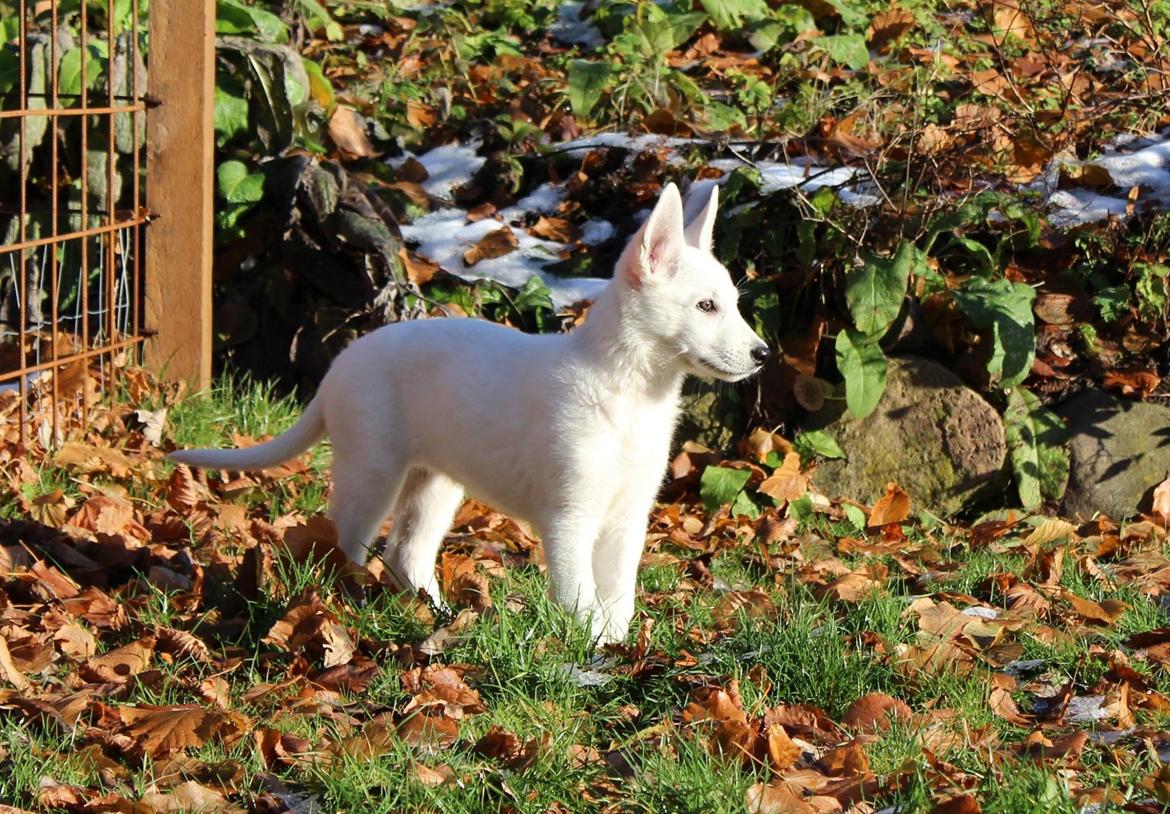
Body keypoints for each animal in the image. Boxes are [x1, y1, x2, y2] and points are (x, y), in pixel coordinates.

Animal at [169, 182, 762, 640]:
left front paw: (616, 650)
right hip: (371, 471)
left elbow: (618, 597)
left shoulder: (627, 518)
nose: (762, 355)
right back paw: (348, 606)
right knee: (346, 545)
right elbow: (581, 597)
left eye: (731, 304)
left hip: (434, 484)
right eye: (706, 307)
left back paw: (438, 617)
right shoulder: (569, 517)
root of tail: (340, 365)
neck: (628, 391)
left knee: (406, 555)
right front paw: (590, 654)